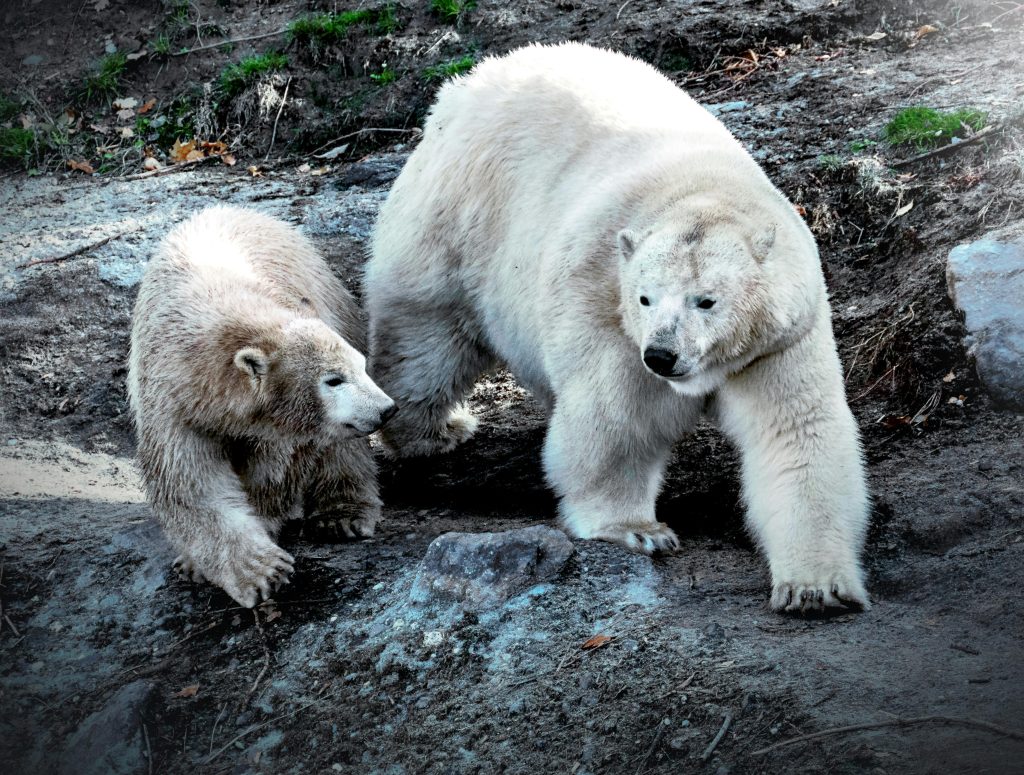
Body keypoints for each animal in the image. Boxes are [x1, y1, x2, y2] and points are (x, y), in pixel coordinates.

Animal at [128, 205, 397, 608]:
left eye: (360, 367)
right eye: (333, 380)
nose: (385, 409)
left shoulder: (280, 425)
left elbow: (275, 469)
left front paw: (265, 548)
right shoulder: (172, 403)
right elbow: (192, 487)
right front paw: (245, 570)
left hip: (333, 305)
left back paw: (342, 515)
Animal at [364, 42, 870, 613]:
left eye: (707, 300)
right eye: (645, 297)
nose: (663, 356)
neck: (699, 189)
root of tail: (468, 83)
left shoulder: (779, 338)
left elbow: (797, 432)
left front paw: (816, 589)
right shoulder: (606, 303)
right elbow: (617, 416)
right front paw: (639, 530)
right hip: (458, 218)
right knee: (427, 336)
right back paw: (433, 431)